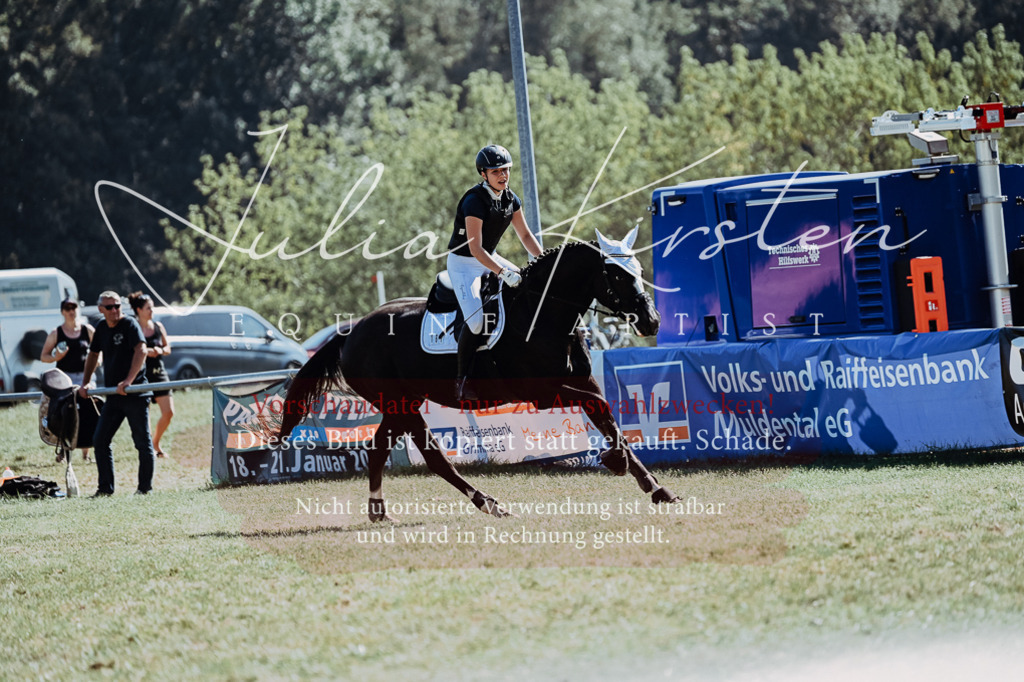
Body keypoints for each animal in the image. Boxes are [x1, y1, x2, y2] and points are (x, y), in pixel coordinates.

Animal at [274, 227, 680, 520]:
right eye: (616, 274)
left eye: (638, 271)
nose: (651, 321)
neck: (543, 314)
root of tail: (352, 331)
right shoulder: (542, 392)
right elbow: (600, 406)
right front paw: (615, 461)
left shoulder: (582, 380)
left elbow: (607, 415)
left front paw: (655, 487)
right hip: (400, 403)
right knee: (434, 458)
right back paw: (489, 503)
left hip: (401, 404)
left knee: (380, 450)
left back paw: (380, 512)